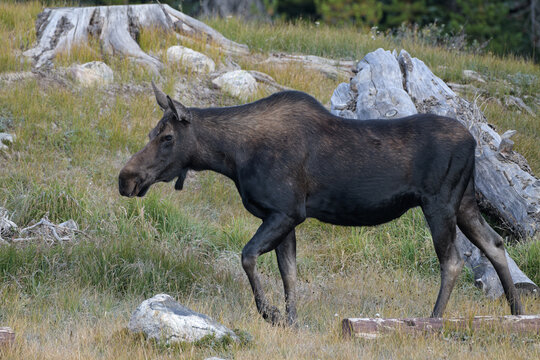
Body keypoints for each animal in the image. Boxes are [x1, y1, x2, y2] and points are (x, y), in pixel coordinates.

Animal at [118, 83, 524, 324]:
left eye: (167, 137)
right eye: (153, 132)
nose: (126, 178)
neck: (232, 157)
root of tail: (473, 141)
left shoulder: (286, 211)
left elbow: (247, 257)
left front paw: (269, 314)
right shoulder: (284, 218)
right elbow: (289, 273)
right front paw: (290, 321)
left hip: (439, 203)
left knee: (452, 261)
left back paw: (433, 319)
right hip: (464, 201)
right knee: (494, 244)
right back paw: (517, 312)